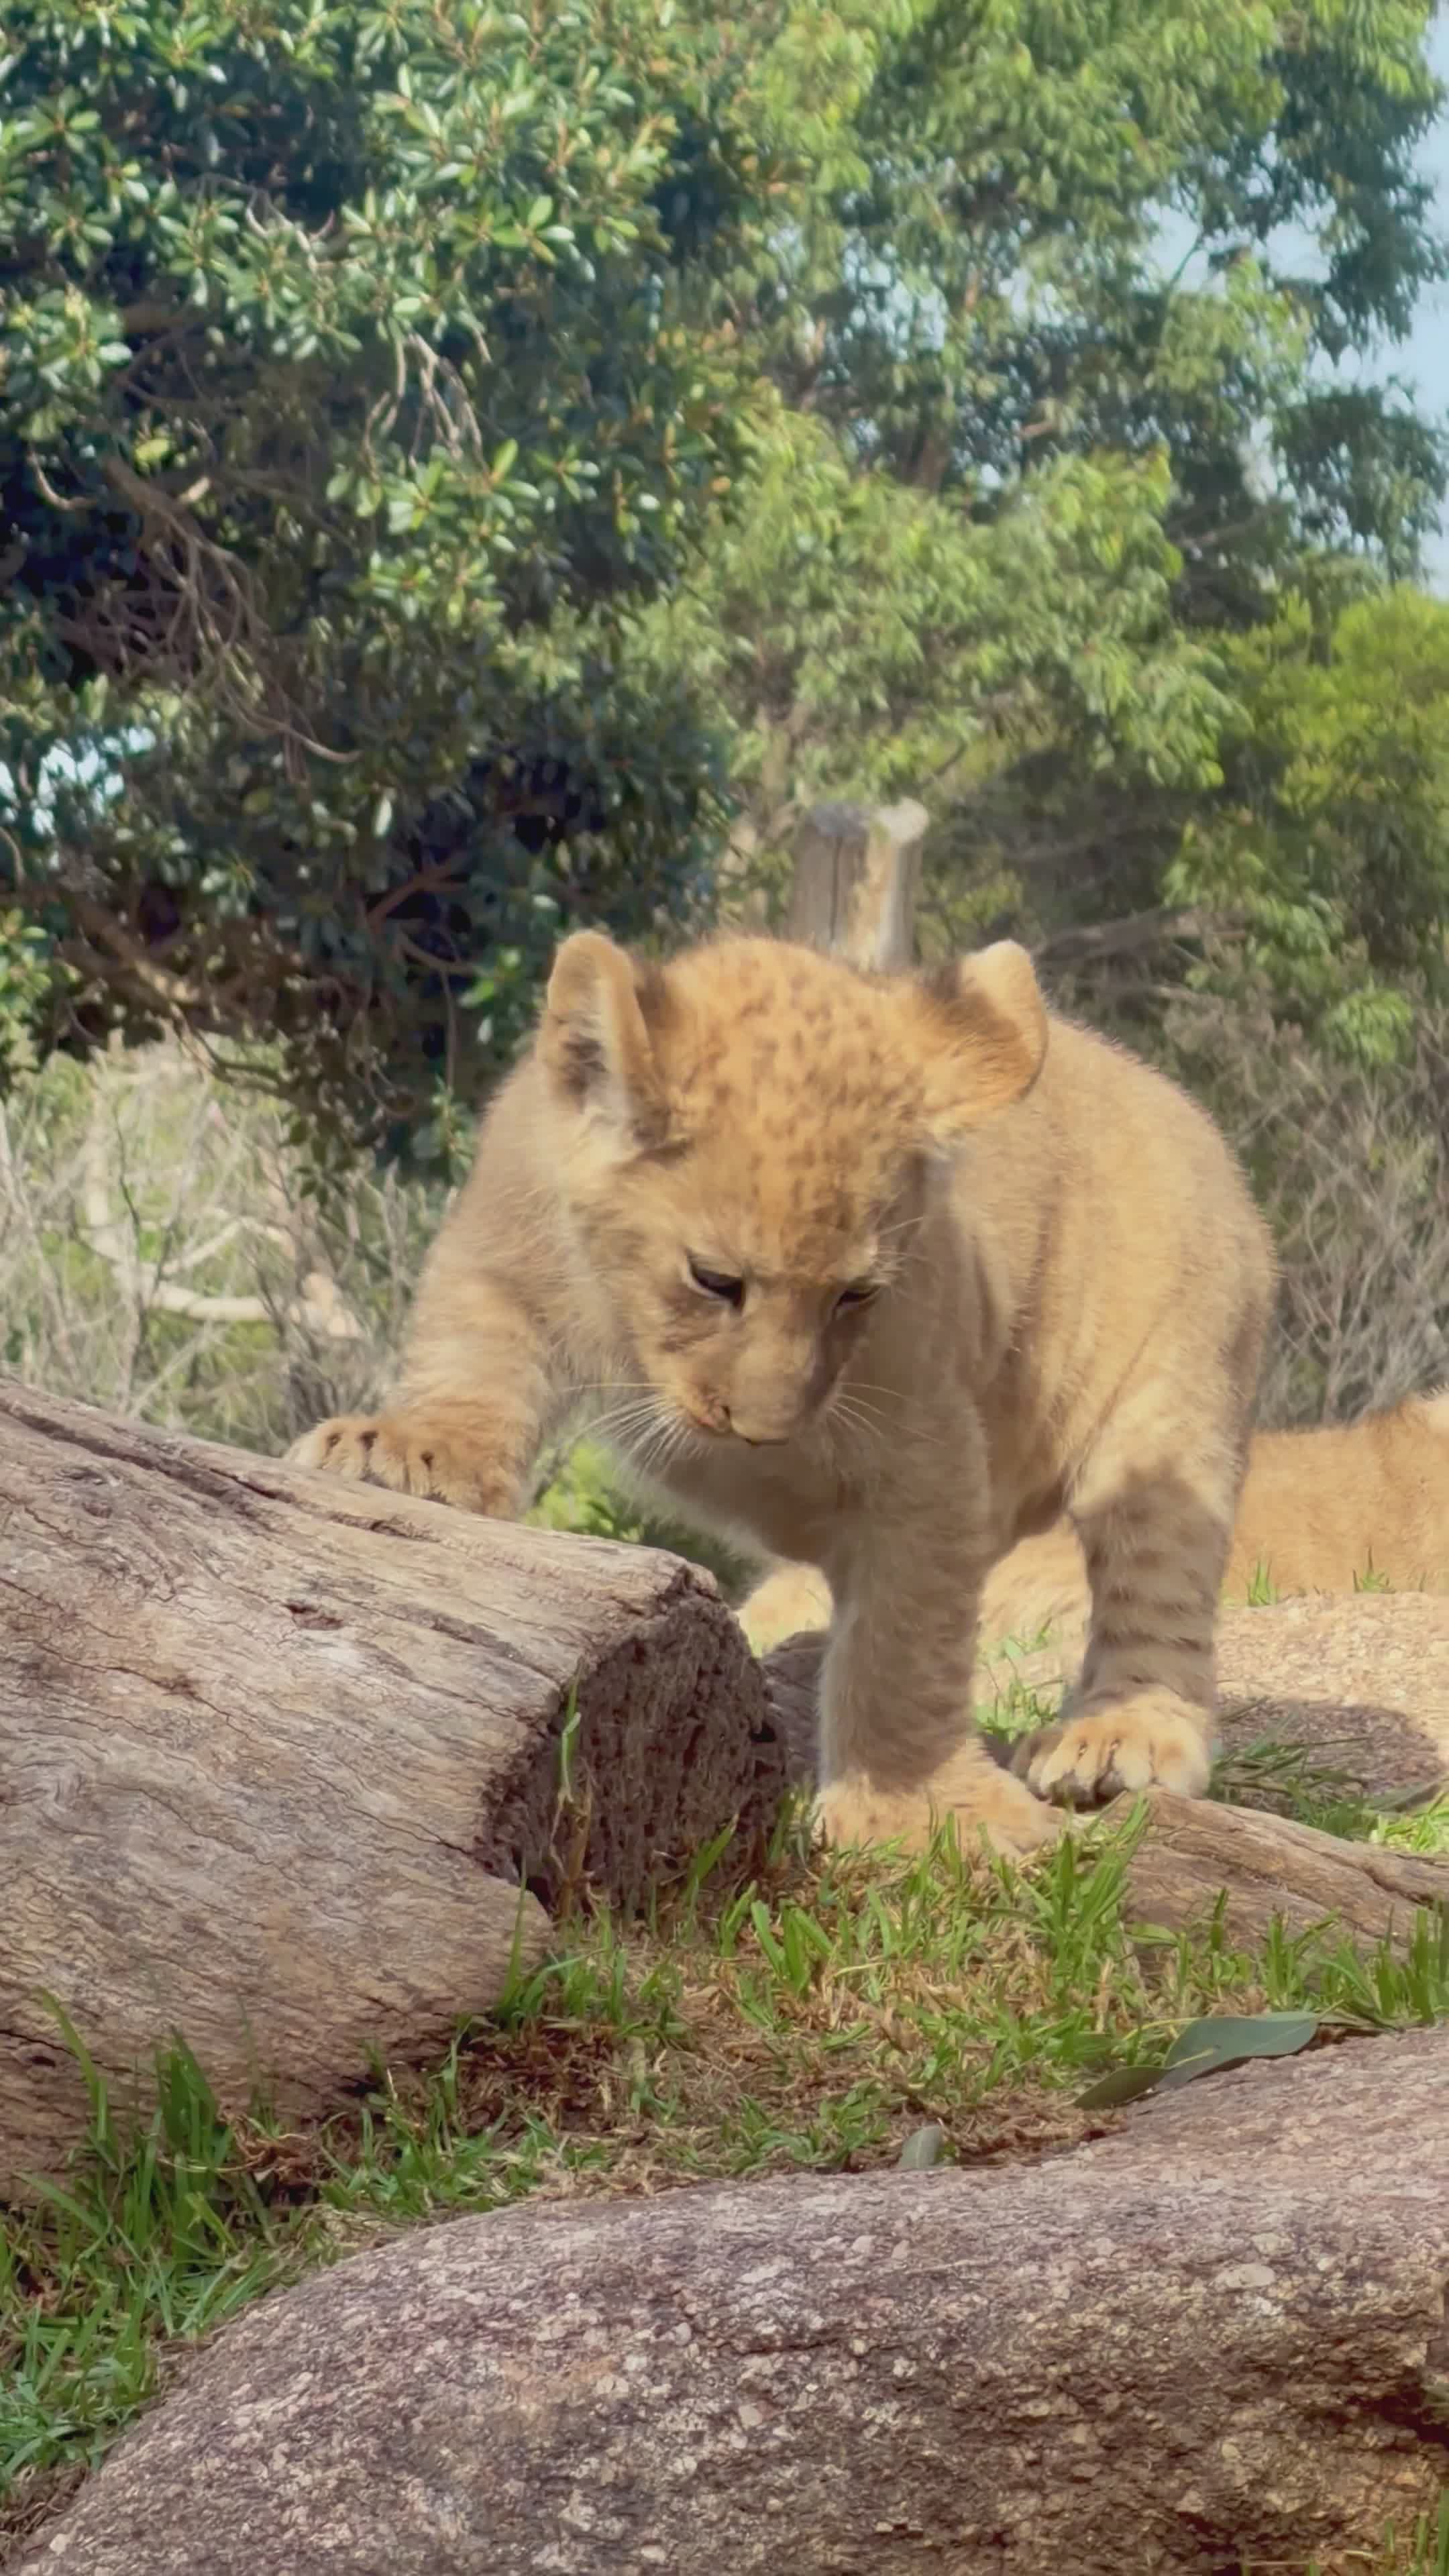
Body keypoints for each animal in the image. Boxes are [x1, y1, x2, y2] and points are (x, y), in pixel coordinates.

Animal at [288, 929, 1273, 1857]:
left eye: (858, 1294)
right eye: (713, 1279)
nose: (760, 1432)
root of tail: (1177, 1101)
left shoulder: (927, 1448)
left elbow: (907, 1643)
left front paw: (917, 1811)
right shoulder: (504, 1244)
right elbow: (470, 1358)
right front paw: (406, 1455)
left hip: (1169, 1408)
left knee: (1157, 1587)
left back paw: (1118, 1734)